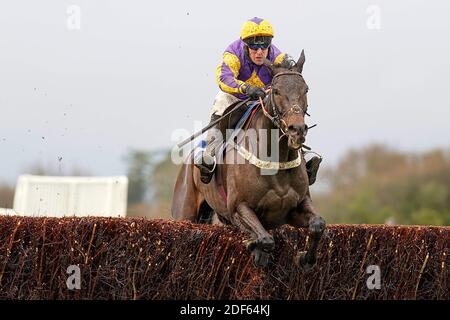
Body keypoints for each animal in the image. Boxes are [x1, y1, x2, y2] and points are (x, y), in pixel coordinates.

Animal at [171, 50, 326, 270]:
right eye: (276, 91)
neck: (275, 160)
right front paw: (255, 246)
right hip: (185, 213)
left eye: (305, 89)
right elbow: (265, 239)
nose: (297, 130)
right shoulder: (238, 208)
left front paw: (305, 258)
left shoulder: (297, 206)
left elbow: (318, 225)